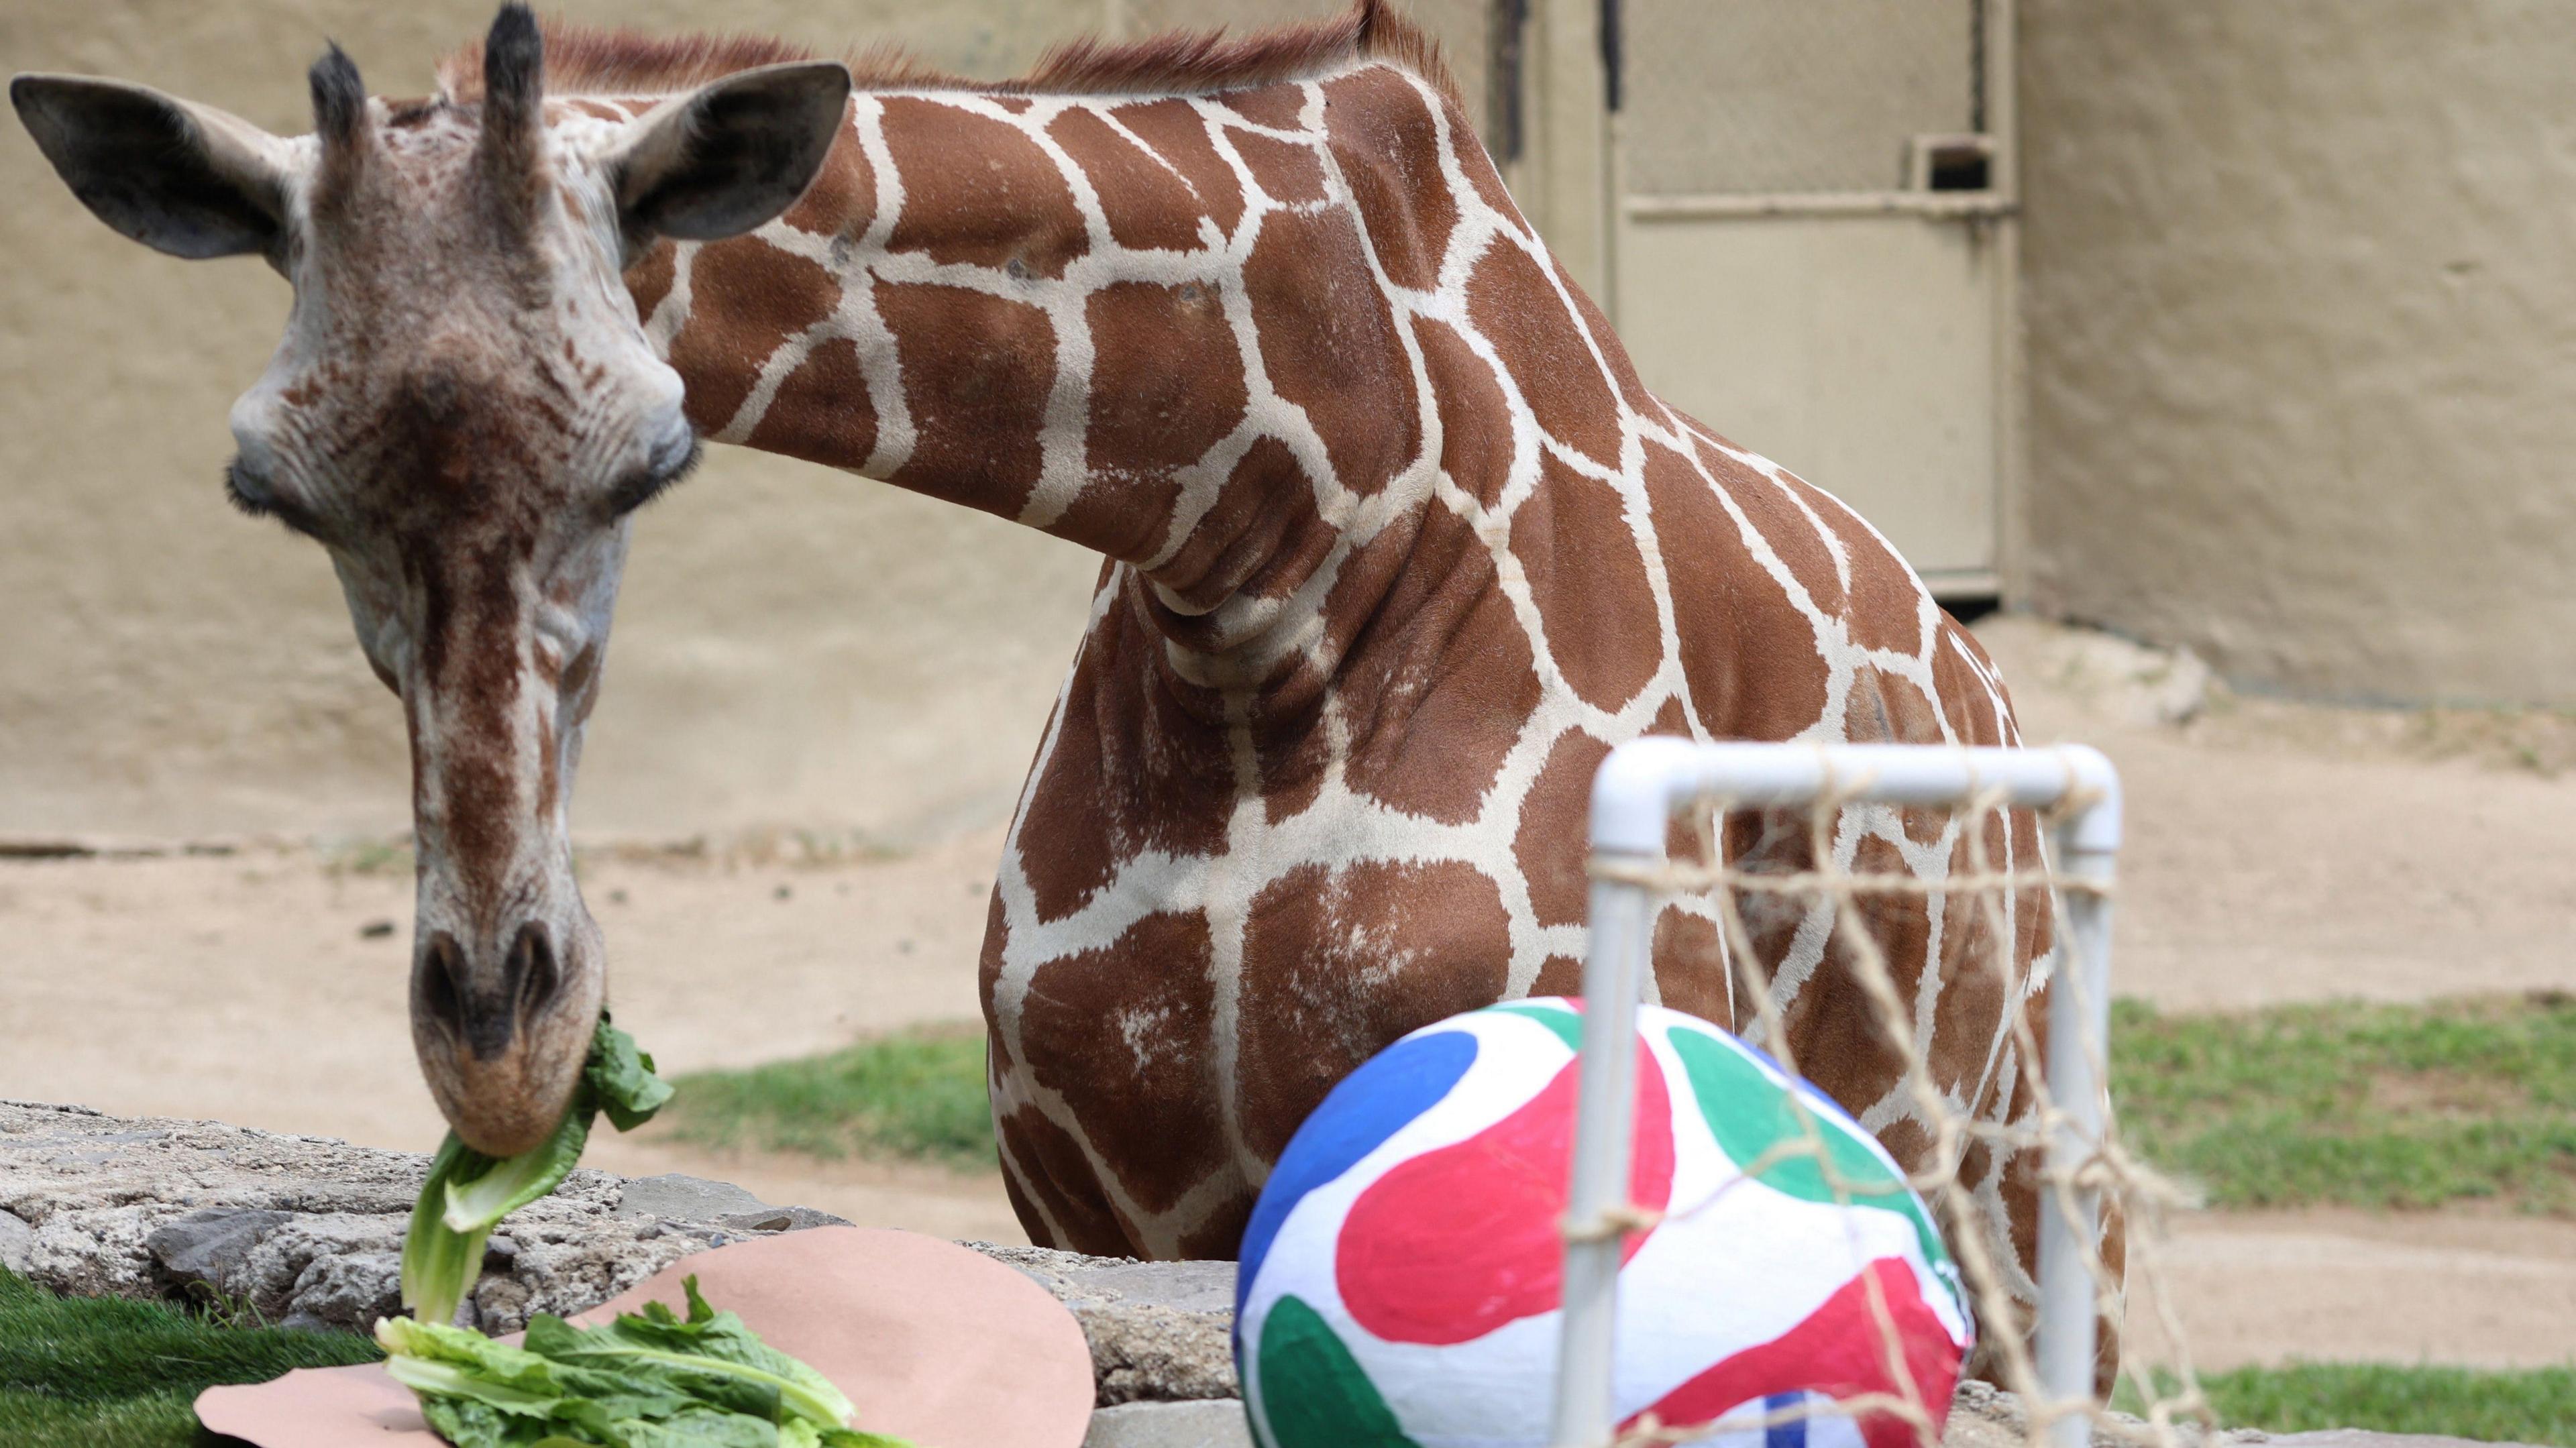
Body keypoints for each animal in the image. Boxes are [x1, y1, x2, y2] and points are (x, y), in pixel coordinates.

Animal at [14, 1, 2111, 1369]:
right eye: (269, 487)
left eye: (654, 459)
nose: (501, 1043)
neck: (1285, 539)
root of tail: (1985, 681)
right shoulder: (1108, 1197)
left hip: (1997, 1194)